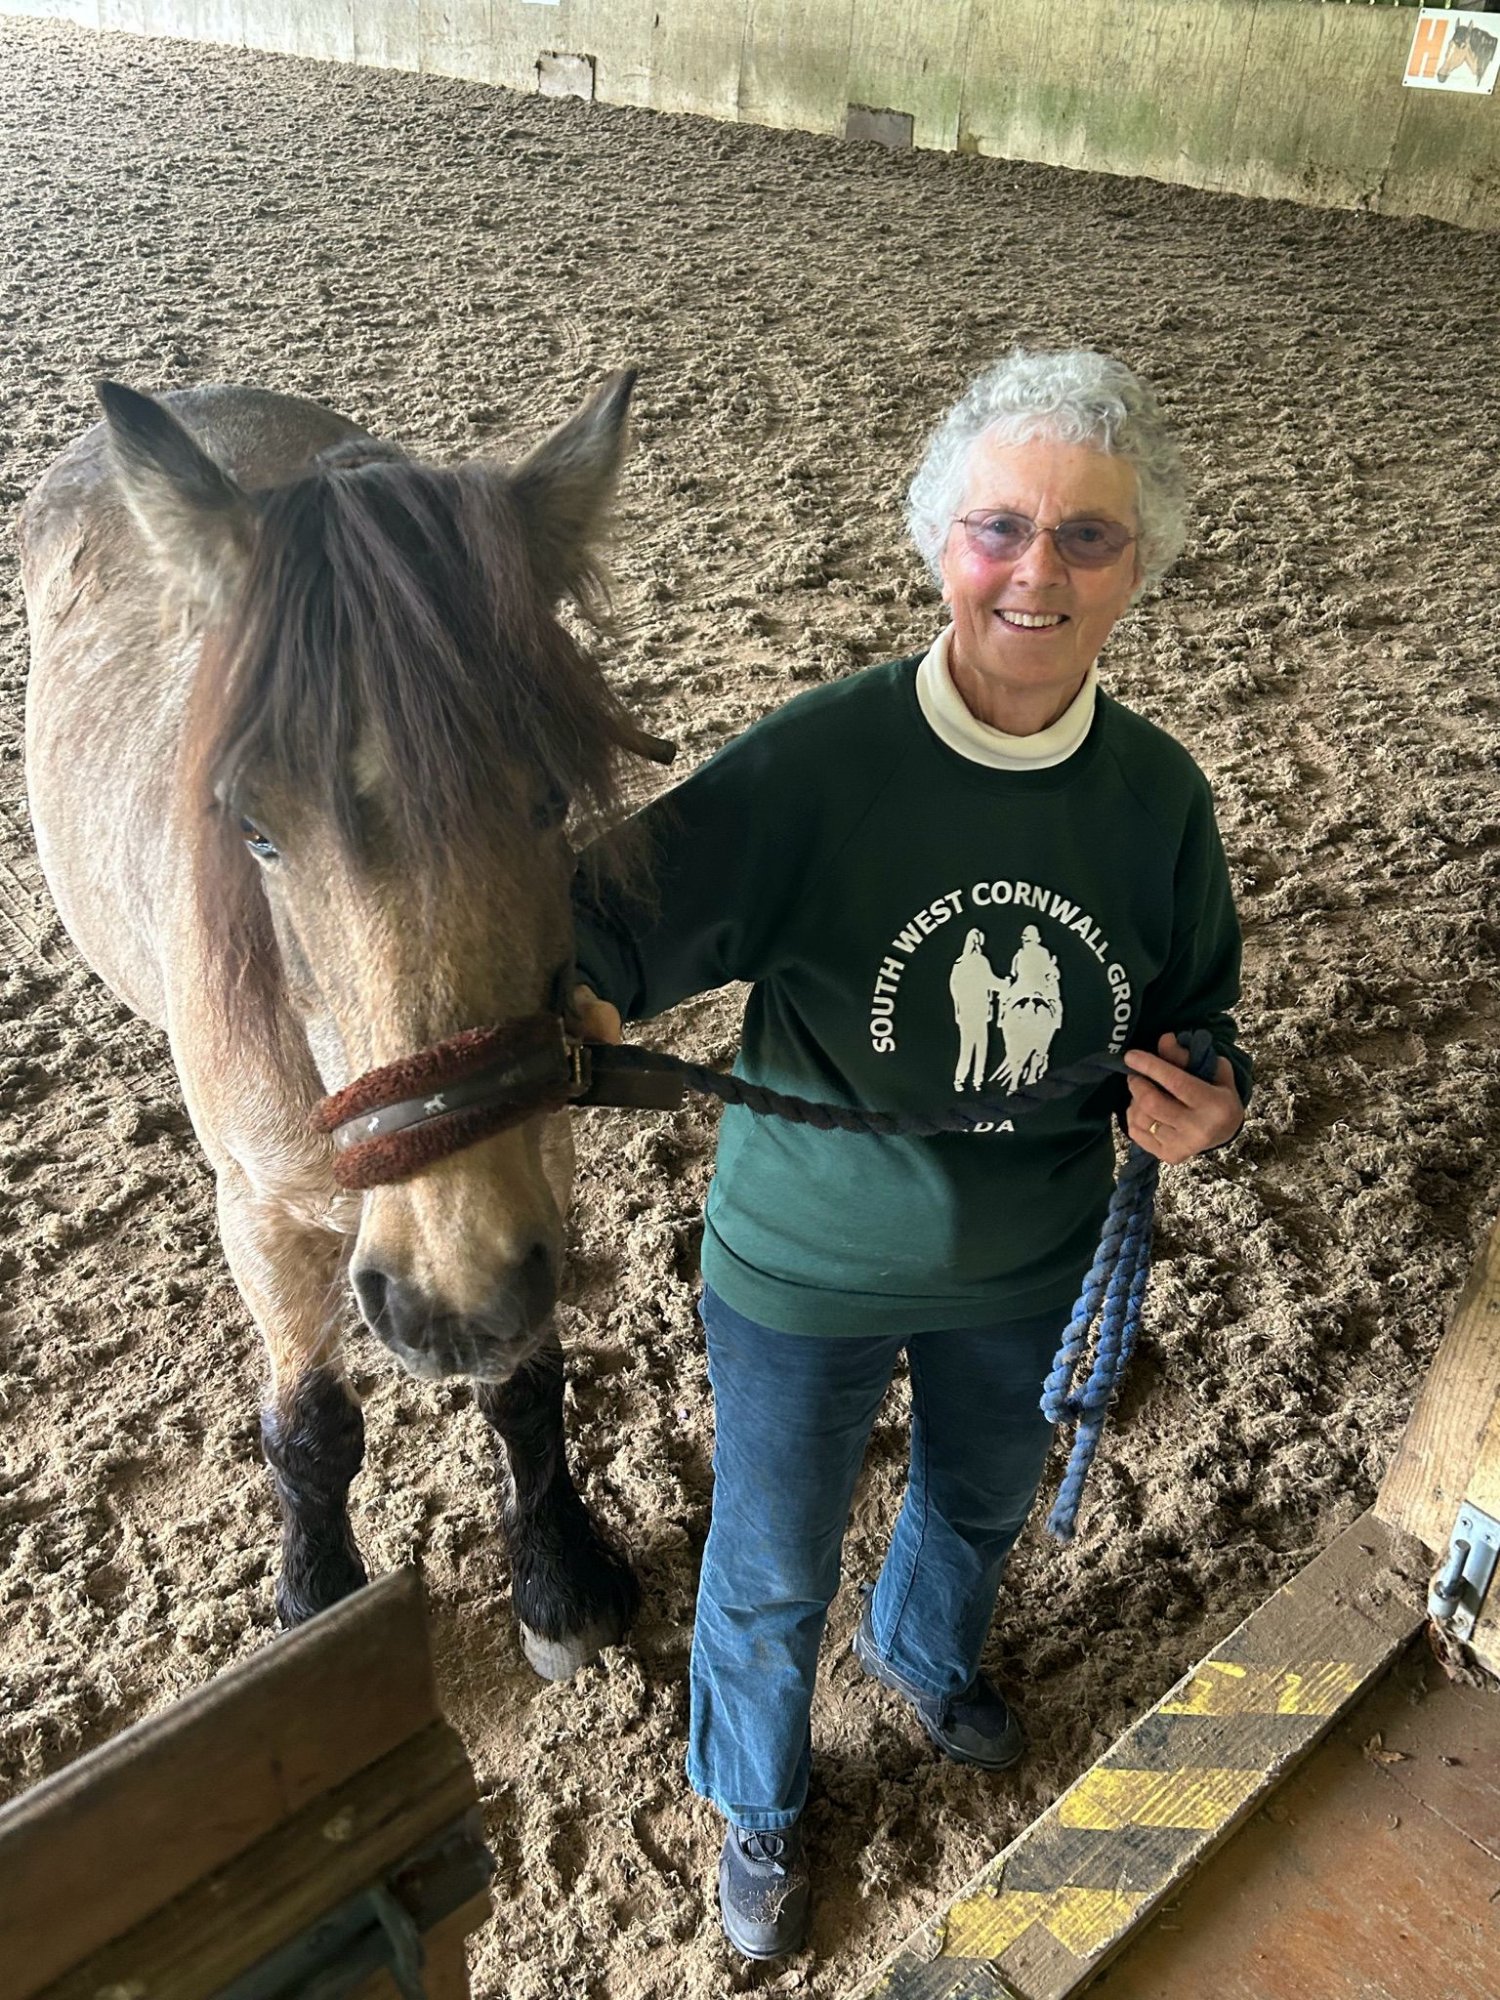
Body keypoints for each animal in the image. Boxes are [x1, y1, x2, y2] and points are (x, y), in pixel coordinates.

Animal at [20, 373, 671, 1679]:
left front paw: (559, 1577)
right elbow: (310, 1427)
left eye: (550, 795)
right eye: (254, 830)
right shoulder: (263, 1211)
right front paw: (316, 1609)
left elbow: (523, 1386)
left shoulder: (534, 1156)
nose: (445, 1298)